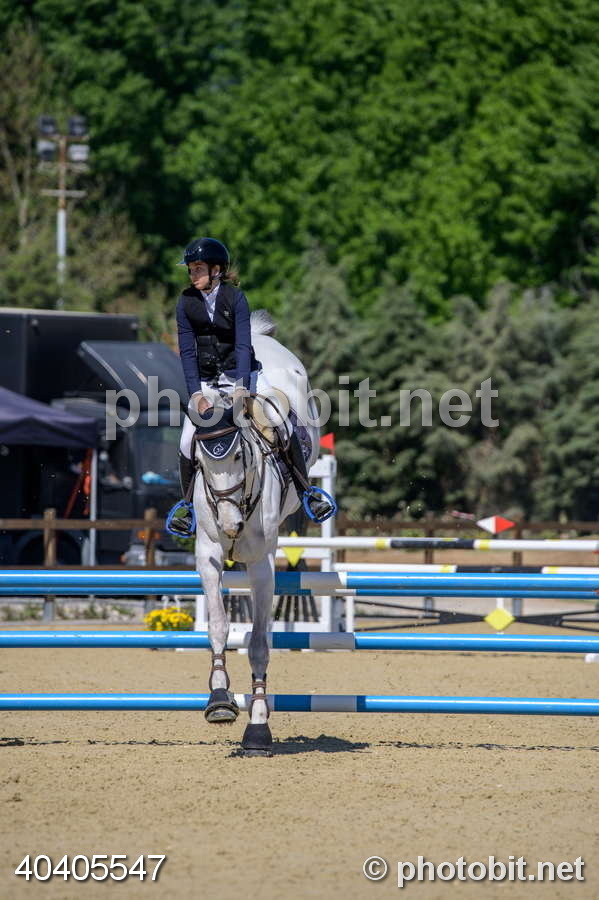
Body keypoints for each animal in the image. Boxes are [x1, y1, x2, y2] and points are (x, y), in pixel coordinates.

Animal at [191, 311, 321, 756]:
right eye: (200, 462)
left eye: (240, 456)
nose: (230, 525)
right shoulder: (209, 556)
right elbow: (218, 625)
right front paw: (219, 699)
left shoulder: (262, 566)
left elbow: (260, 643)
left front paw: (259, 727)